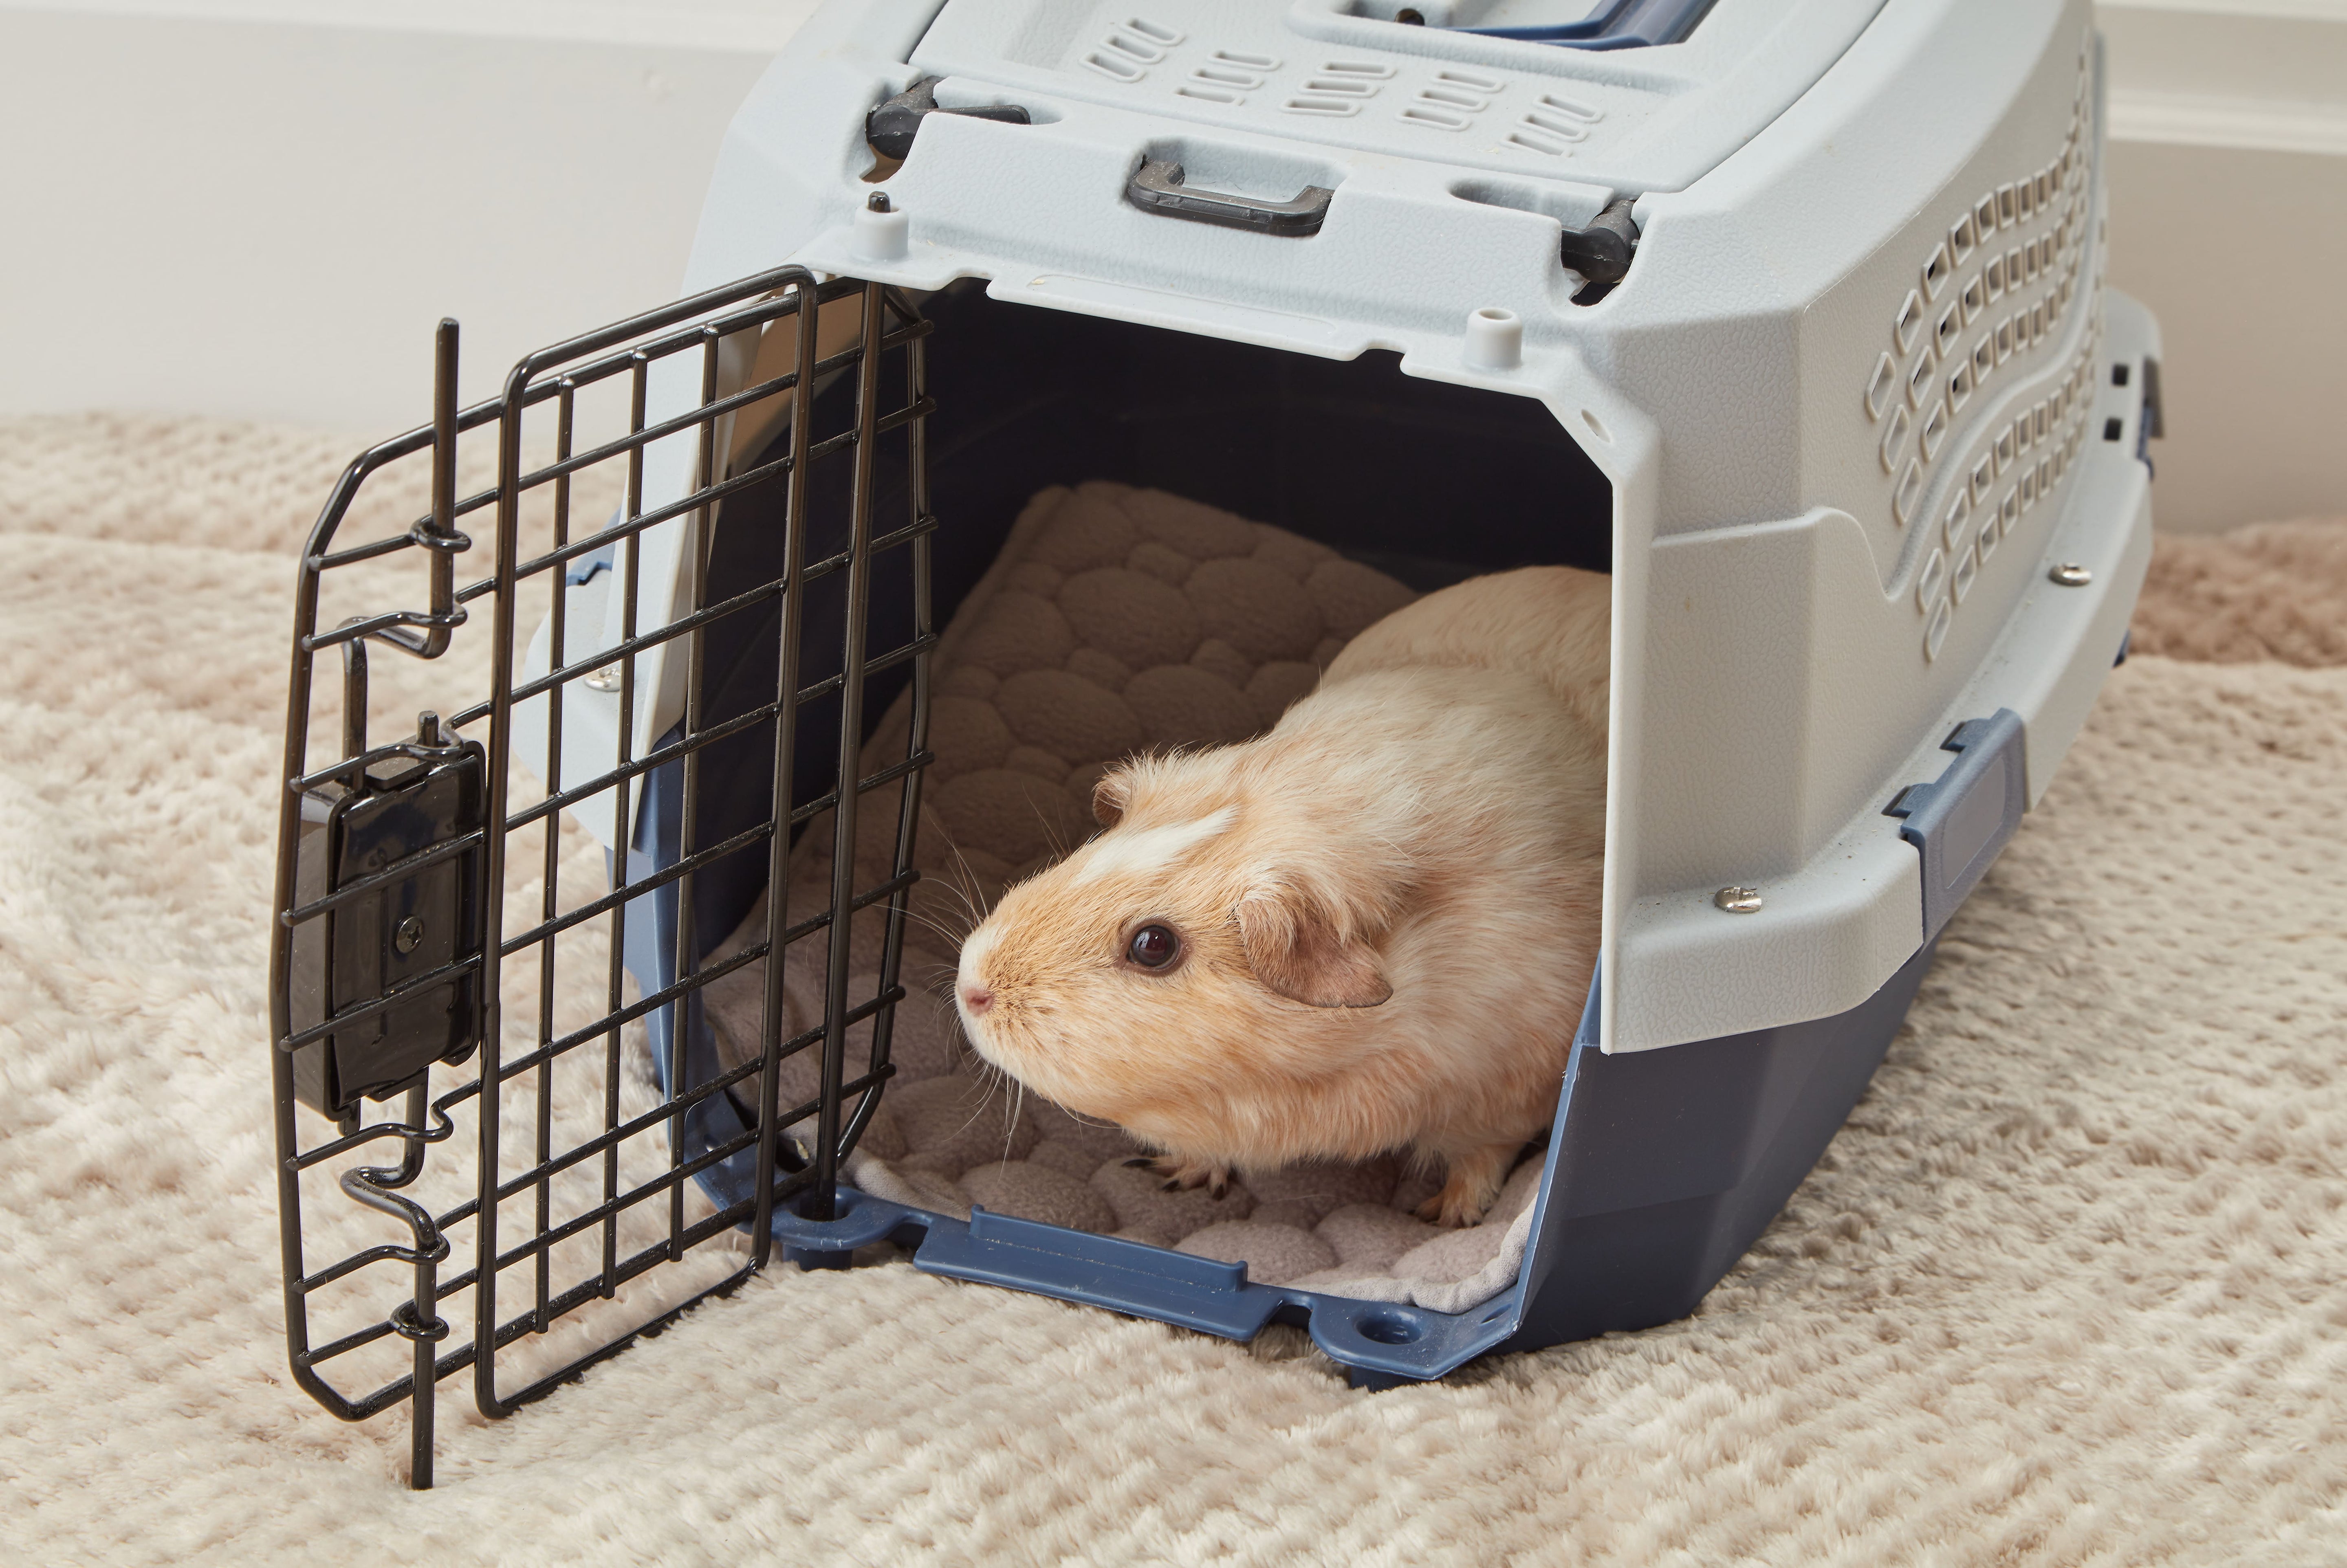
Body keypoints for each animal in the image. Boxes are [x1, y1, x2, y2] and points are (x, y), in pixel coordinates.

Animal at [951, 565, 1608, 1226]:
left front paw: (1446, 1214)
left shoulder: (1509, 1092)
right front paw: (1176, 1175)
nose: (971, 989)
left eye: (1154, 945)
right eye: (1094, 849)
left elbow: (1482, 1156)